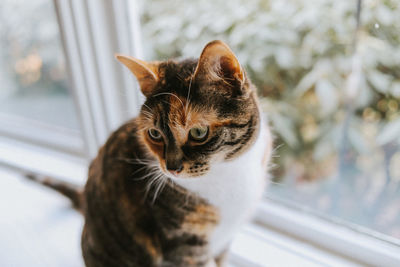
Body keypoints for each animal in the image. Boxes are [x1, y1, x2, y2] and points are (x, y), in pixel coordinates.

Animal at [27, 40, 272, 267]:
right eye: (154, 133)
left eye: (199, 132)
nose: (171, 168)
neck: (229, 172)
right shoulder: (183, 246)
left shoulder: (223, 244)